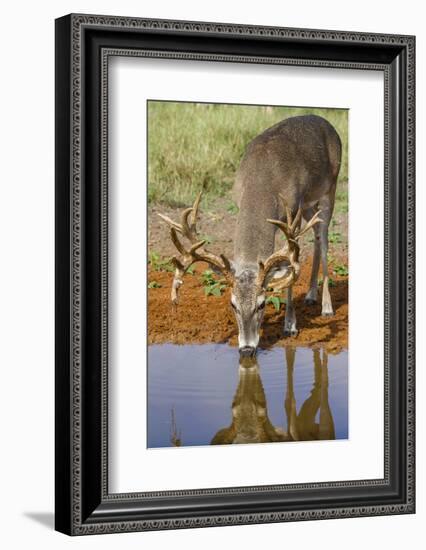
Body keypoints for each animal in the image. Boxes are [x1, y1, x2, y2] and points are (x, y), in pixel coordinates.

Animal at [158, 114, 342, 360]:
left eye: (262, 304)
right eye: (232, 304)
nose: (246, 349)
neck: (263, 181)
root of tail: (325, 121)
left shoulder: (293, 211)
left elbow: (290, 267)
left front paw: (290, 325)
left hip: (329, 188)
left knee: (324, 239)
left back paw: (326, 307)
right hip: (309, 206)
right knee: (317, 236)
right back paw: (311, 294)